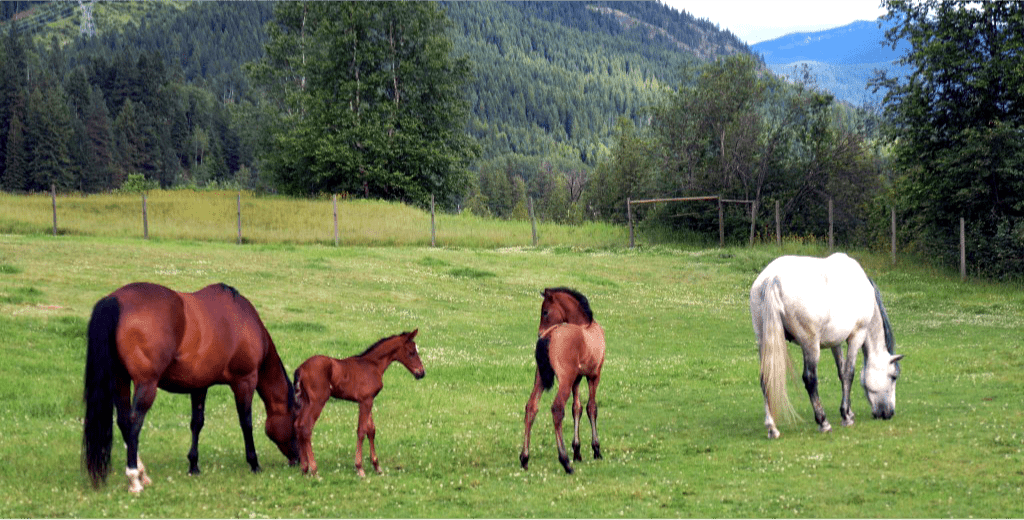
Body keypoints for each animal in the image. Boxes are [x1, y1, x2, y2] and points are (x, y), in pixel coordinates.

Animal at [81, 282, 299, 493]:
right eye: (295, 421)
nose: (297, 459)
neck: (245, 321)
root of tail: (115, 300)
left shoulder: (199, 386)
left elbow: (197, 423)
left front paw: (194, 465)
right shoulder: (245, 381)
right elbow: (246, 423)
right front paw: (254, 463)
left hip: (121, 380)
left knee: (124, 421)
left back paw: (143, 473)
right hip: (146, 385)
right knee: (134, 422)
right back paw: (134, 479)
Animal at [292, 331, 423, 477]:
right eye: (412, 352)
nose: (421, 373)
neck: (373, 365)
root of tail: (301, 369)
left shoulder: (368, 400)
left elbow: (371, 430)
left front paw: (377, 466)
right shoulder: (365, 401)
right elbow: (361, 431)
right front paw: (360, 468)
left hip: (306, 401)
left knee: (298, 425)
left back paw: (304, 468)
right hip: (317, 402)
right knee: (306, 427)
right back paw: (314, 470)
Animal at [516, 288, 602, 474]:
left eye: (545, 311)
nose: (539, 333)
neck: (586, 326)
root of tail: (549, 336)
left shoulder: (577, 379)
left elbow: (577, 408)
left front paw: (577, 451)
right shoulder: (594, 375)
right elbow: (591, 408)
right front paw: (596, 449)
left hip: (540, 378)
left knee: (531, 407)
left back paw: (525, 458)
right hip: (565, 381)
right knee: (557, 409)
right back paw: (565, 461)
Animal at [749, 251, 901, 438]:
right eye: (893, 376)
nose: (889, 413)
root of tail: (773, 277)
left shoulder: (836, 343)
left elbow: (842, 373)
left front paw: (849, 412)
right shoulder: (856, 336)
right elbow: (849, 373)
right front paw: (845, 416)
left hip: (764, 341)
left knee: (766, 379)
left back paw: (772, 428)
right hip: (810, 346)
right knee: (810, 379)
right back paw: (823, 422)